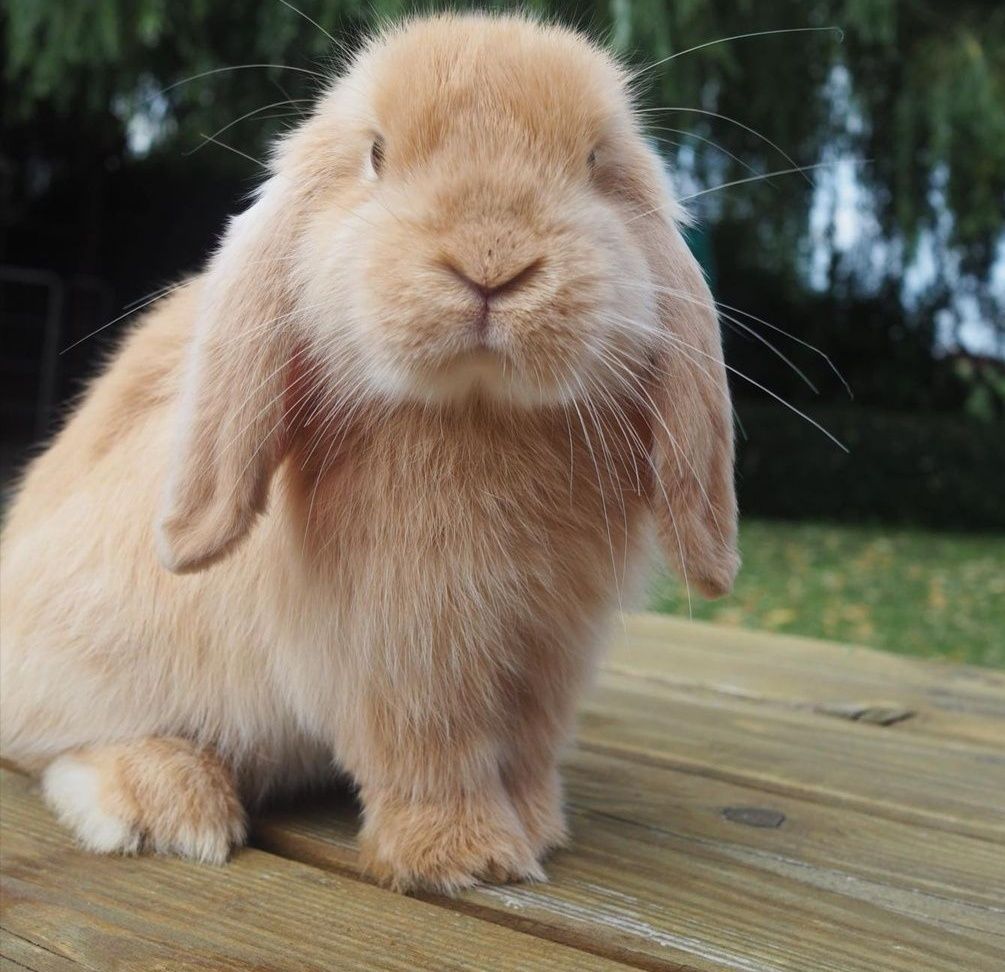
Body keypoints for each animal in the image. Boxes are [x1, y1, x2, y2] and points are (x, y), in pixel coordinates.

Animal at [0, 13, 739, 896]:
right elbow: (428, 755)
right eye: (376, 155)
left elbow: (527, 751)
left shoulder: (549, 654)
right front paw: (461, 859)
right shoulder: (397, 652)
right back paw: (163, 801)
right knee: (53, 746)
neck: (476, 411)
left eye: (595, 164)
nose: (491, 262)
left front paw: (537, 830)